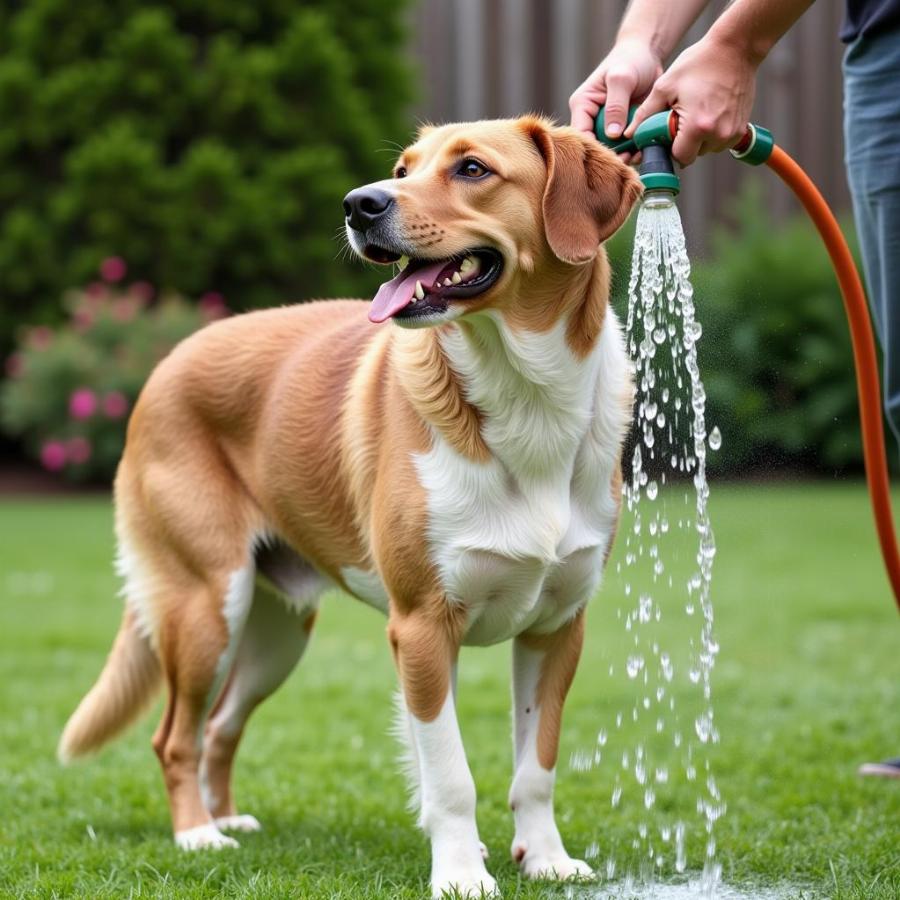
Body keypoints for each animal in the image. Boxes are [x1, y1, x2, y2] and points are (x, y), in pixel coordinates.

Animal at [58, 116, 640, 896]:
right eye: (402, 169)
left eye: (473, 169)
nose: (359, 204)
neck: (527, 401)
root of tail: (167, 362)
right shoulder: (422, 627)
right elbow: (451, 775)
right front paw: (461, 872)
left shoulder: (556, 629)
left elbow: (536, 766)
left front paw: (545, 857)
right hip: (206, 606)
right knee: (174, 735)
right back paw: (197, 834)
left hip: (277, 633)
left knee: (218, 727)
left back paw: (227, 818)